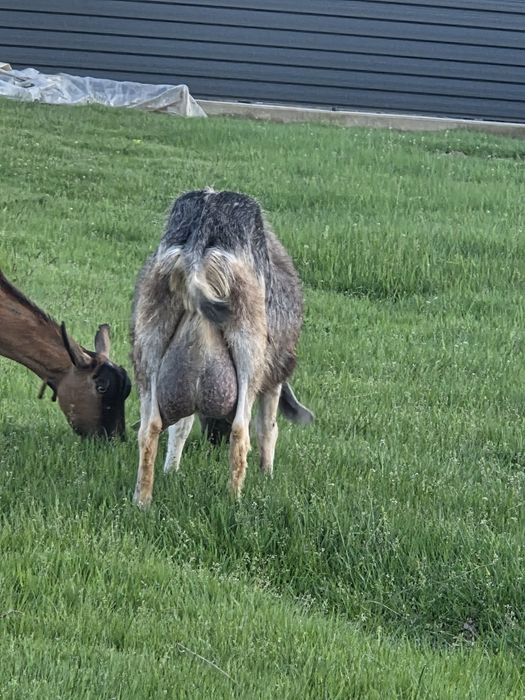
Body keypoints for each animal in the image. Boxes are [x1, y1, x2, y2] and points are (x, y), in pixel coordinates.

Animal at [131, 188, 313, 507]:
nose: (214, 439)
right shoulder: (274, 376)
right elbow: (269, 428)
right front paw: (267, 475)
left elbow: (180, 426)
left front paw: (171, 470)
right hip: (249, 348)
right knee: (242, 430)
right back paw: (235, 500)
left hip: (149, 342)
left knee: (149, 427)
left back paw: (142, 501)